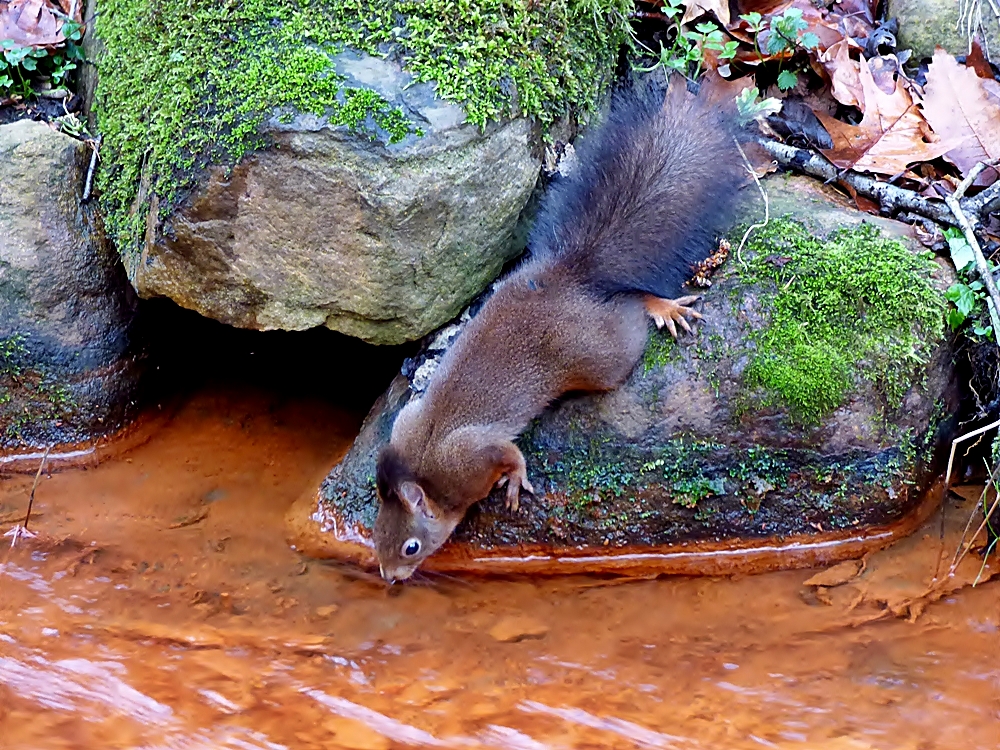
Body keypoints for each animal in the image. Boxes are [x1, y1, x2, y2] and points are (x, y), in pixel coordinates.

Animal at [374, 83, 744, 588]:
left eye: (411, 545)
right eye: (377, 532)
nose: (388, 576)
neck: (427, 470)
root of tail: (572, 277)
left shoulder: (470, 457)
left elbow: (509, 454)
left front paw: (514, 481)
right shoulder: (407, 422)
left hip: (600, 355)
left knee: (628, 312)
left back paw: (658, 306)